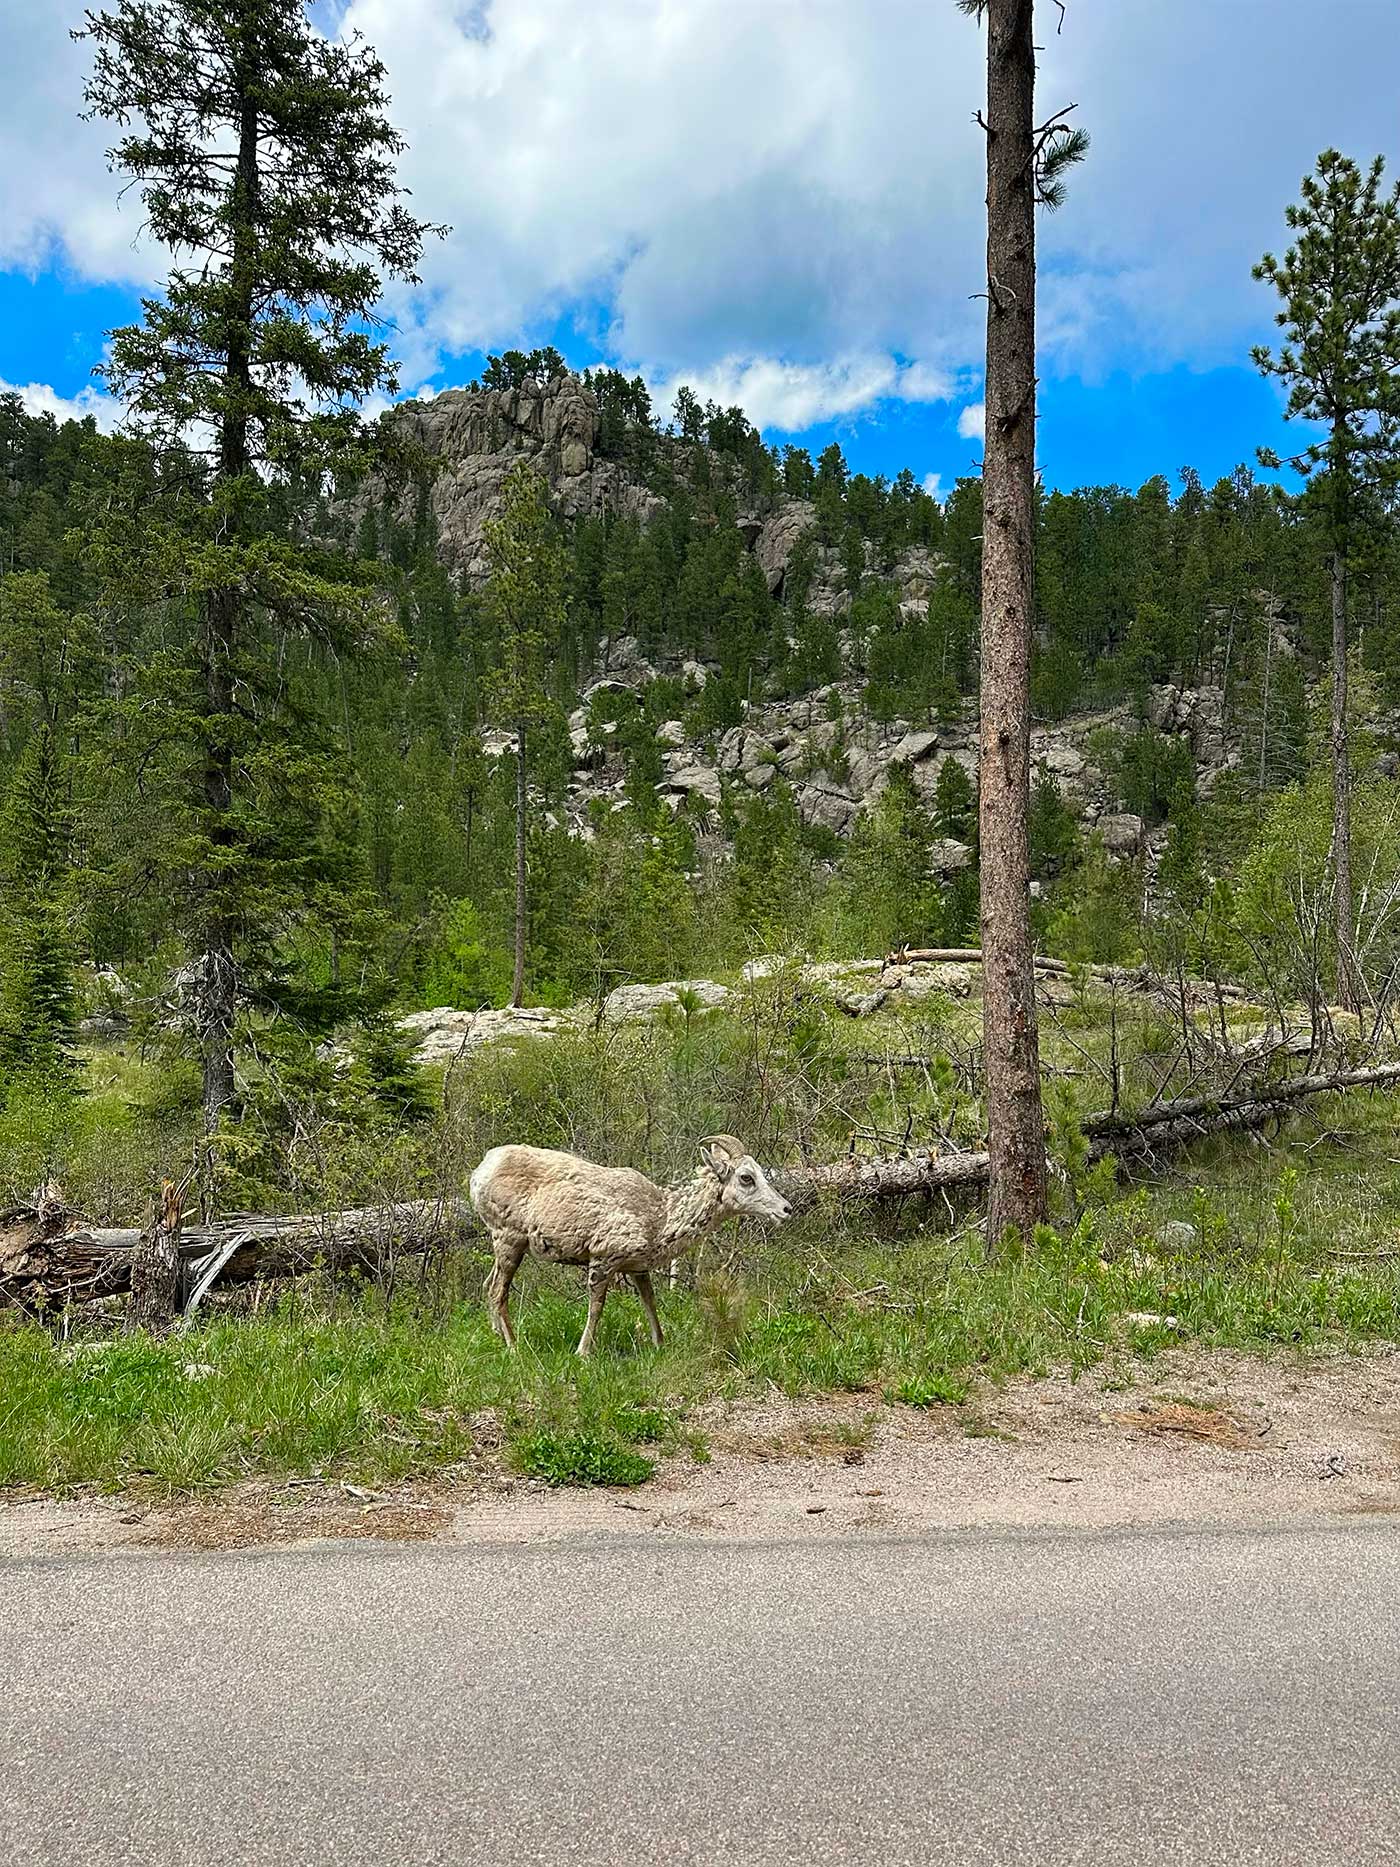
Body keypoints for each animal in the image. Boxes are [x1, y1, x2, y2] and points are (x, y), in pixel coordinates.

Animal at [468, 1134, 792, 1356]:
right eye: (746, 1177)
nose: (786, 1209)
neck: (659, 1221)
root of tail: (478, 1173)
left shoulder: (637, 1267)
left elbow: (650, 1301)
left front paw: (660, 1343)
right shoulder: (603, 1257)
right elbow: (596, 1306)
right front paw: (583, 1352)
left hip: (506, 1243)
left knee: (487, 1284)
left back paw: (496, 1336)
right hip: (508, 1237)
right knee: (497, 1291)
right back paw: (513, 1347)